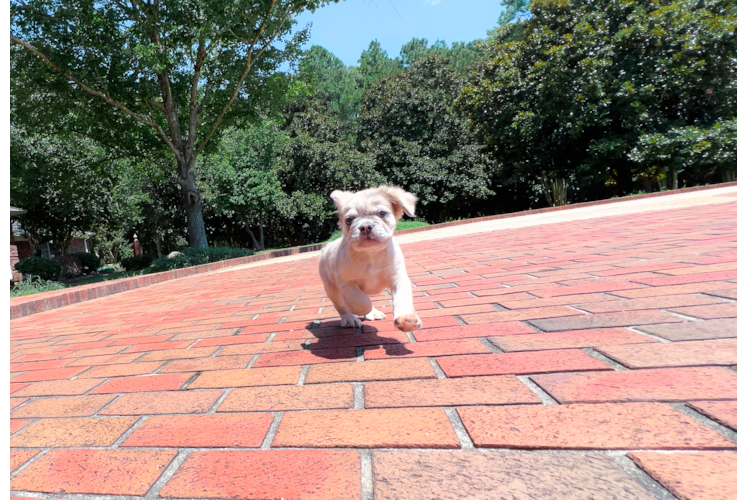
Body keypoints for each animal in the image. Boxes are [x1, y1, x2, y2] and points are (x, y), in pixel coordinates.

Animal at [318, 185, 424, 332]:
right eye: (349, 220)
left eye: (382, 213)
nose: (365, 226)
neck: (370, 254)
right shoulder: (346, 283)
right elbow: (360, 301)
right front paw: (357, 309)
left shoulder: (398, 277)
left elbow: (402, 297)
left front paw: (407, 319)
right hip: (331, 289)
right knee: (341, 305)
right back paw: (349, 318)